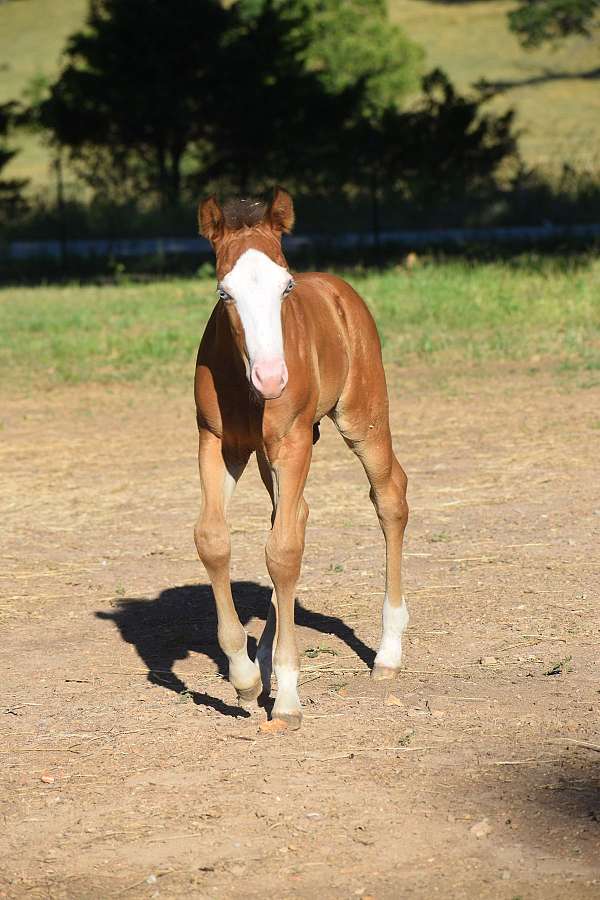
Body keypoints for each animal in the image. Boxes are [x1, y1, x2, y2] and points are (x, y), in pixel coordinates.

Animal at [195, 190, 410, 732]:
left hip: (362, 418)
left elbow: (285, 551)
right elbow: (214, 540)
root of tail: (339, 290)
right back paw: (264, 659)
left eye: (285, 286)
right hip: (268, 457)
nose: (273, 378)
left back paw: (388, 652)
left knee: (389, 496)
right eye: (224, 293)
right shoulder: (218, 443)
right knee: (293, 516)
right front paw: (246, 677)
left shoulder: (292, 442)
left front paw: (288, 696)